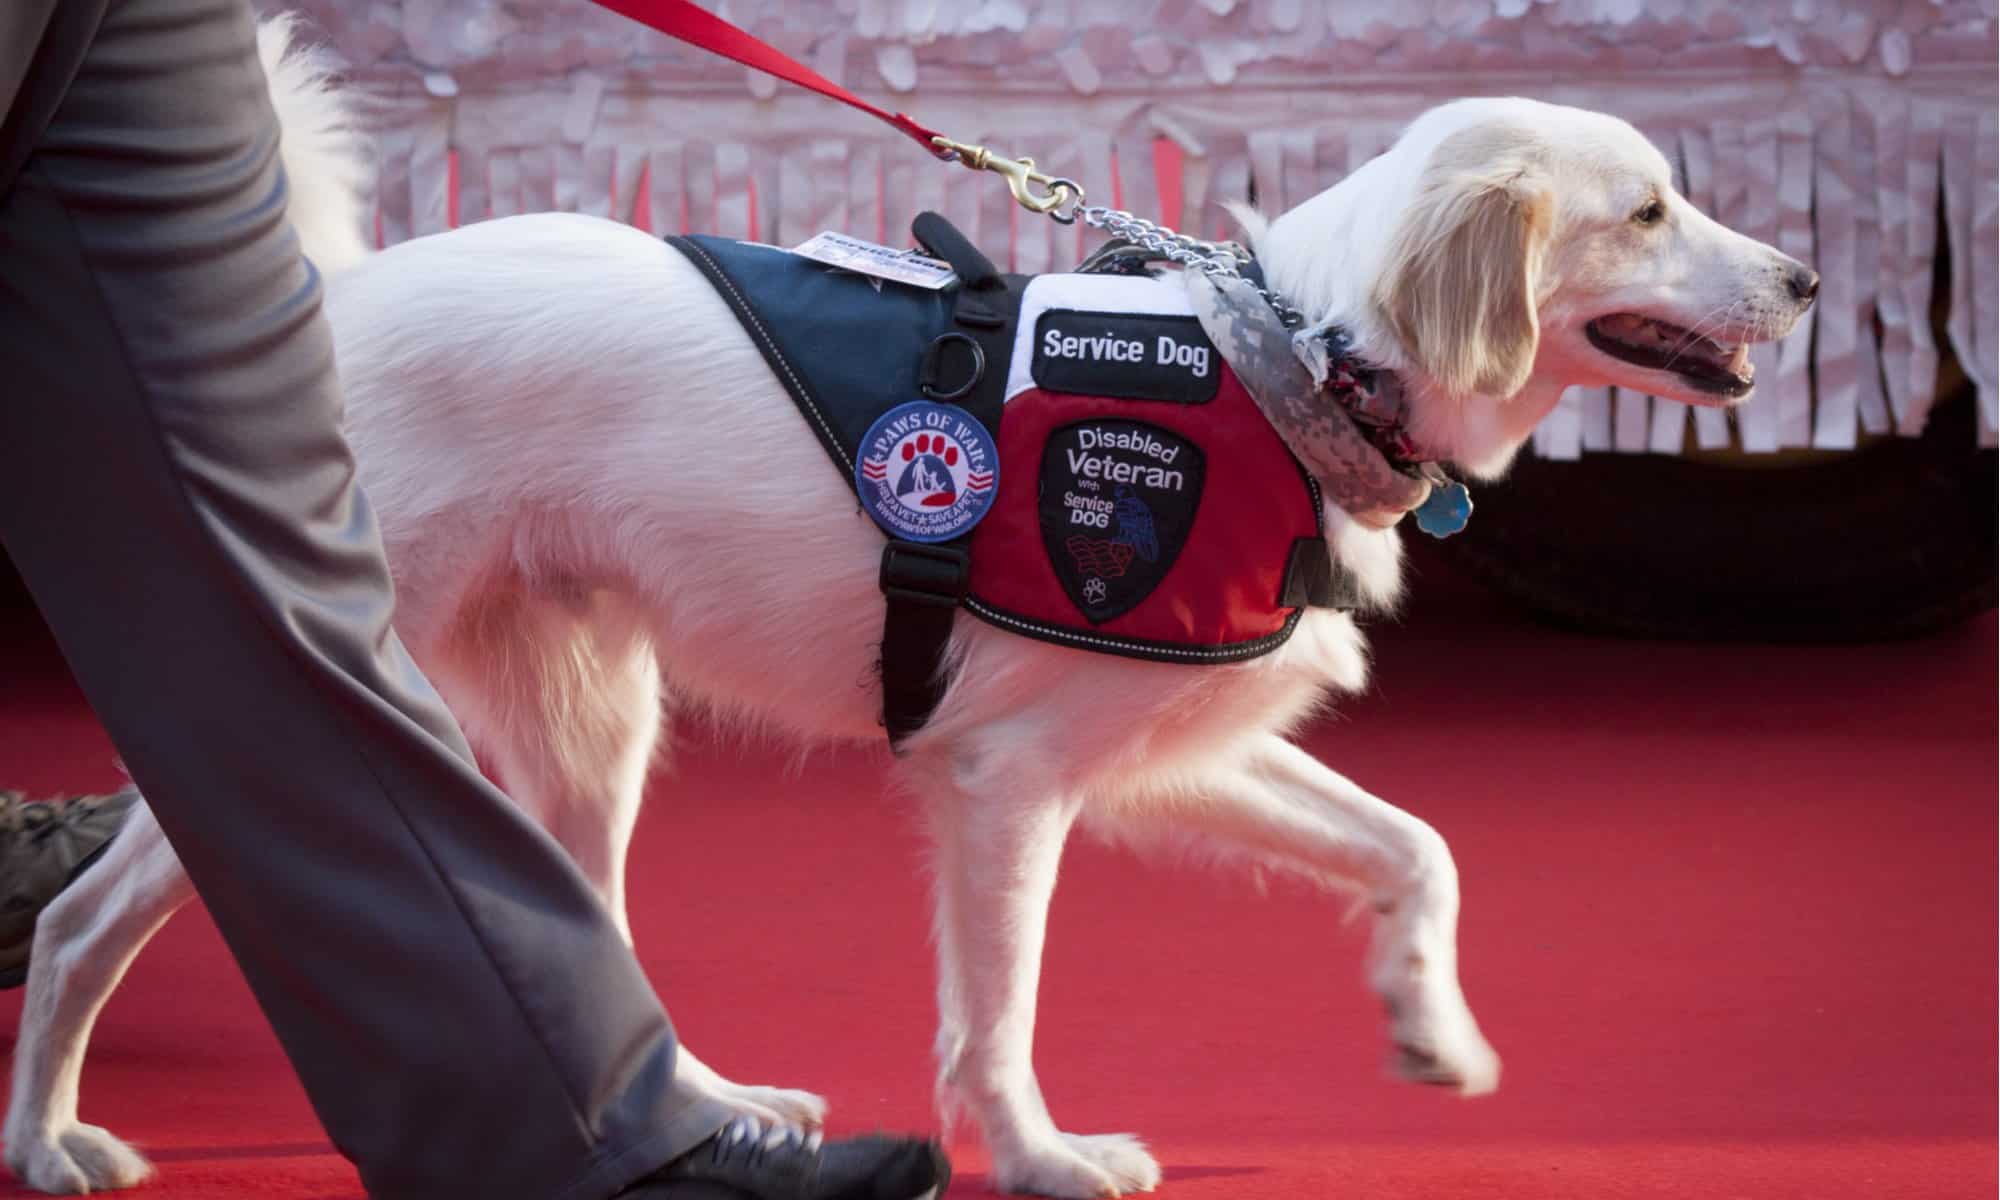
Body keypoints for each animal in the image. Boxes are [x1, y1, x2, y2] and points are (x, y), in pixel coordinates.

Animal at [0, 18, 1816, 1200]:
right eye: (1647, 211)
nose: (1804, 281)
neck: (1288, 357)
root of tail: (345, 295)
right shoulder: (1005, 784)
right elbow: (997, 1014)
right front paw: (1039, 1158)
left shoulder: (1157, 747)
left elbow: (1416, 846)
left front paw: (1429, 1026)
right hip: (343, 677)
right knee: (90, 919)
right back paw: (47, 1141)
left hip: (586, 730)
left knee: (590, 944)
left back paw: (721, 1118)